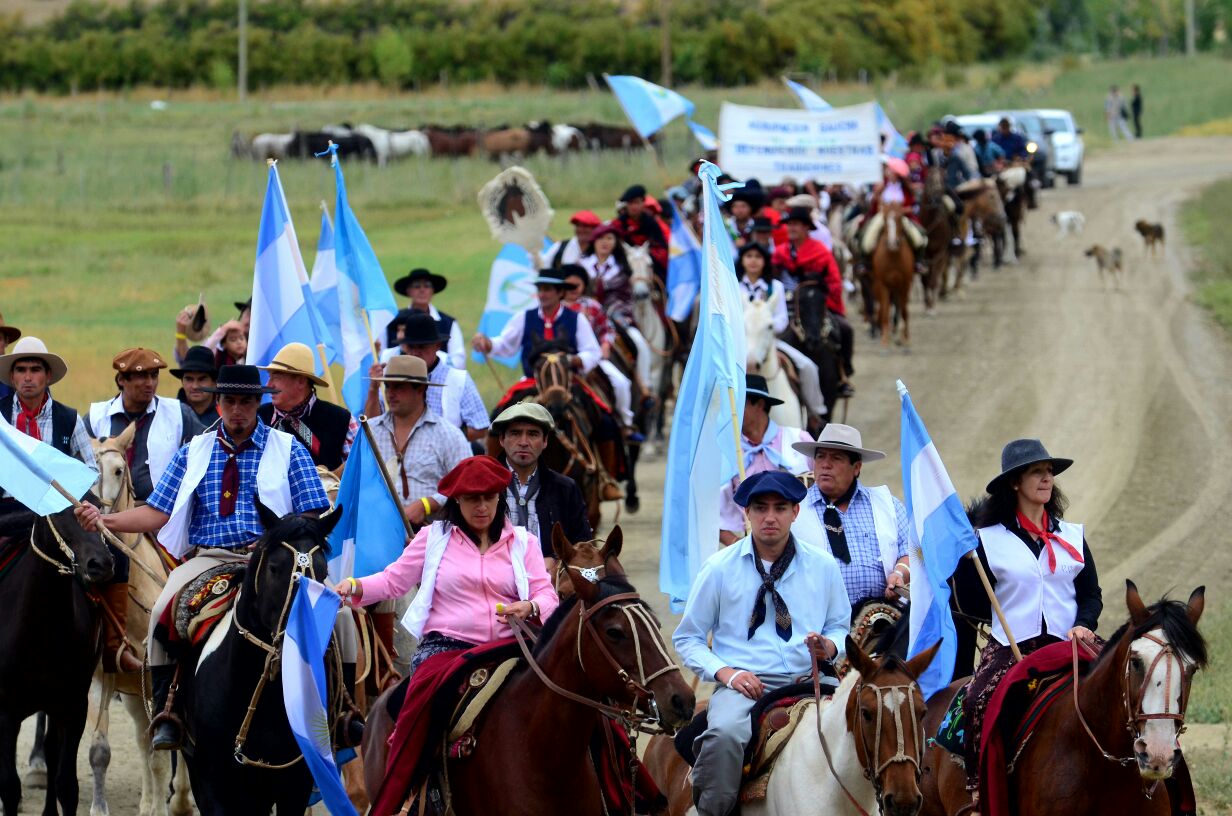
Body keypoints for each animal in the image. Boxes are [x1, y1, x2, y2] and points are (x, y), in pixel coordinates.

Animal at [0, 500, 114, 816]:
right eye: (60, 511)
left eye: (96, 506)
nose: (101, 563)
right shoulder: (6, 712)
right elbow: (9, 788)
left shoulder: (73, 706)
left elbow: (67, 786)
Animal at [870, 202, 916, 349]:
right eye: (884, 219)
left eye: (900, 218)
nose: (892, 243)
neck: (893, 256)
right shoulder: (883, 284)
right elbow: (885, 311)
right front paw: (885, 340)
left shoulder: (906, 284)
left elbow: (904, 310)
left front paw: (905, 338)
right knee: (883, 308)